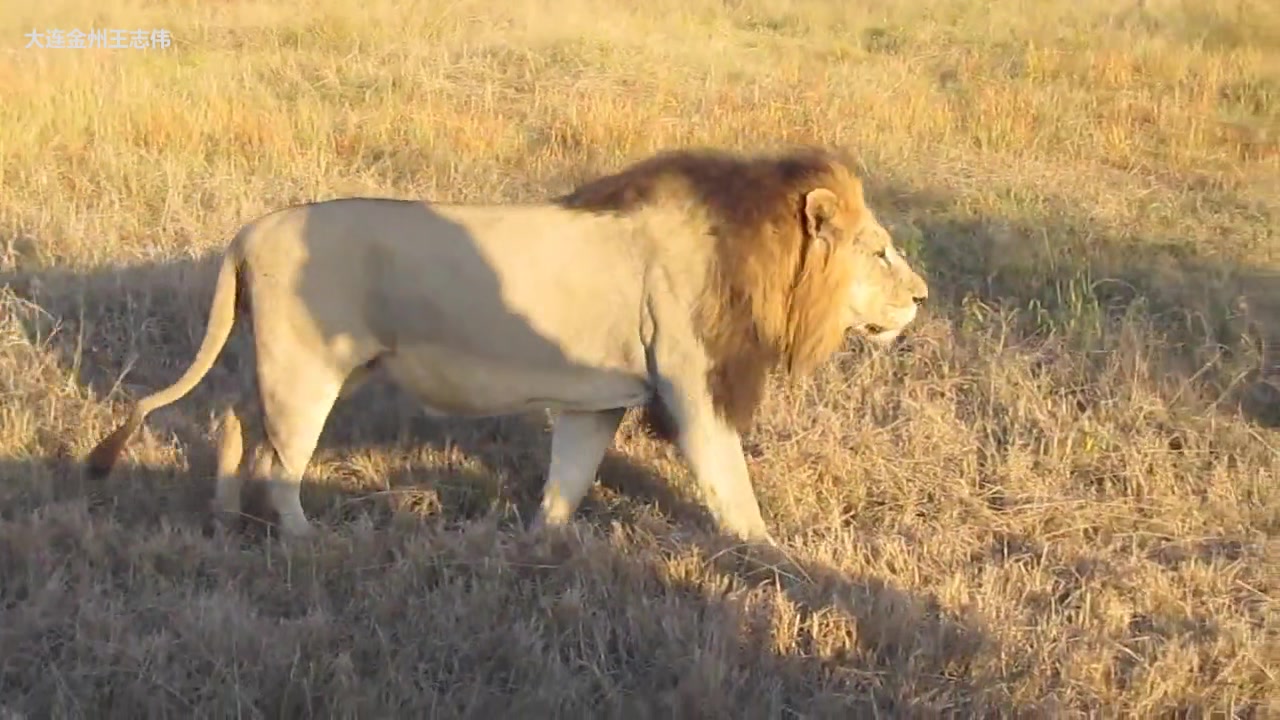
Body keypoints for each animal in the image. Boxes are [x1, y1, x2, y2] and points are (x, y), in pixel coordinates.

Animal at [87, 146, 931, 540]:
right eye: (880, 251)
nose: (923, 297)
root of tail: (249, 231)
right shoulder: (695, 390)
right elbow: (733, 490)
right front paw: (776, 561)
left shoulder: (599, 399)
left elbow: (570, 477)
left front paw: (540, 544)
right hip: (306, 372)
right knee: (278, 462)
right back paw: (304, 540)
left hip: (305, 366)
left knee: (234, 421)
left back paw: (225, 520)